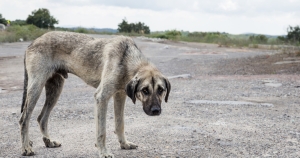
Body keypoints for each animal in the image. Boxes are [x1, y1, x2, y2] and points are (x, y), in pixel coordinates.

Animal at [19, 31, 171, 157]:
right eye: (145, 90)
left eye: (161, 90)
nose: (156, 111)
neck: (127, 59)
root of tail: (32, 42)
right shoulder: (101, 97)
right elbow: (102, 131)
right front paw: (103, 152)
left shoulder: (120, 96)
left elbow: (119, 124)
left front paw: (124, 144)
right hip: (36, 87)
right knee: (24, 119)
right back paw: (26, 148)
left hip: (55, 90)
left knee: (41, 118)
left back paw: (48, 141)